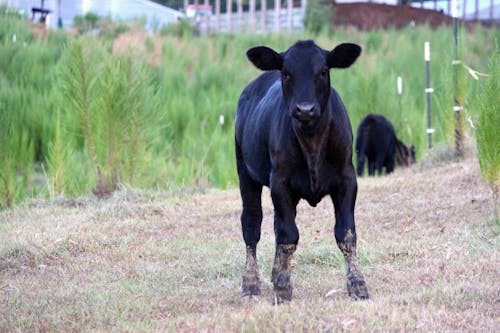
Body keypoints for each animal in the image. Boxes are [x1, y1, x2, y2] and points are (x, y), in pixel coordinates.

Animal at [233, 40, 368, 302]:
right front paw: (284, 289)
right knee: (252, 224)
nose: (305, 109)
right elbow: (288, 236)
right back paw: (251, 283)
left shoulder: (347, 179)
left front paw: (358, 285)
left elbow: (346, 233)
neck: (312, 142)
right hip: (245, 172)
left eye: (323, 71)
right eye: (287, 73)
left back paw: (275, 273)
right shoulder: (280, 182)